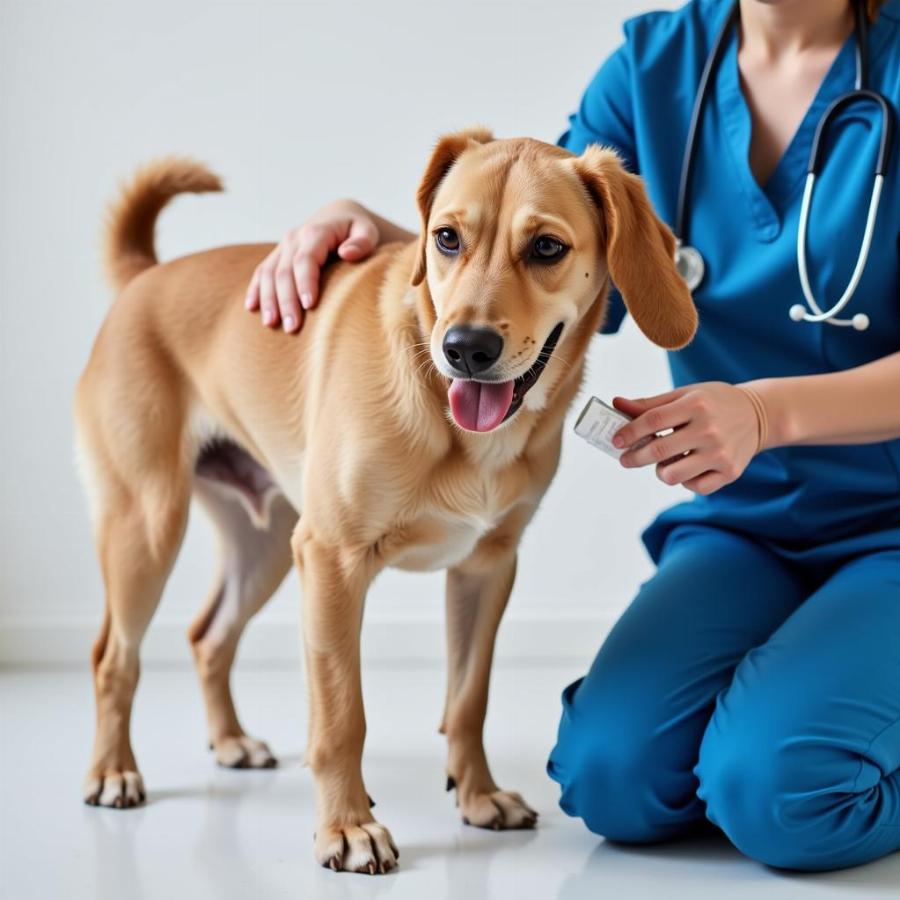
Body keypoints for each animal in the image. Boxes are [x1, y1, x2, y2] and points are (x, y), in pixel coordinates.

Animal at [75, 126, 696, 872]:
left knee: (208, 637)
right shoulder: (334, 562)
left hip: (265, 545)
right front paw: (347, 826)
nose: (465, 348)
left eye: (547, 247)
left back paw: (229, 742)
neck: (457, 428)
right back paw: (114, 771)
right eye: (447, 237)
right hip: (148, 527)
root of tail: (145, 277)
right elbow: (343, 717)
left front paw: (478, 796)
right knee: (114, 659)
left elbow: (468, 699)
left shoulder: (486, 568)